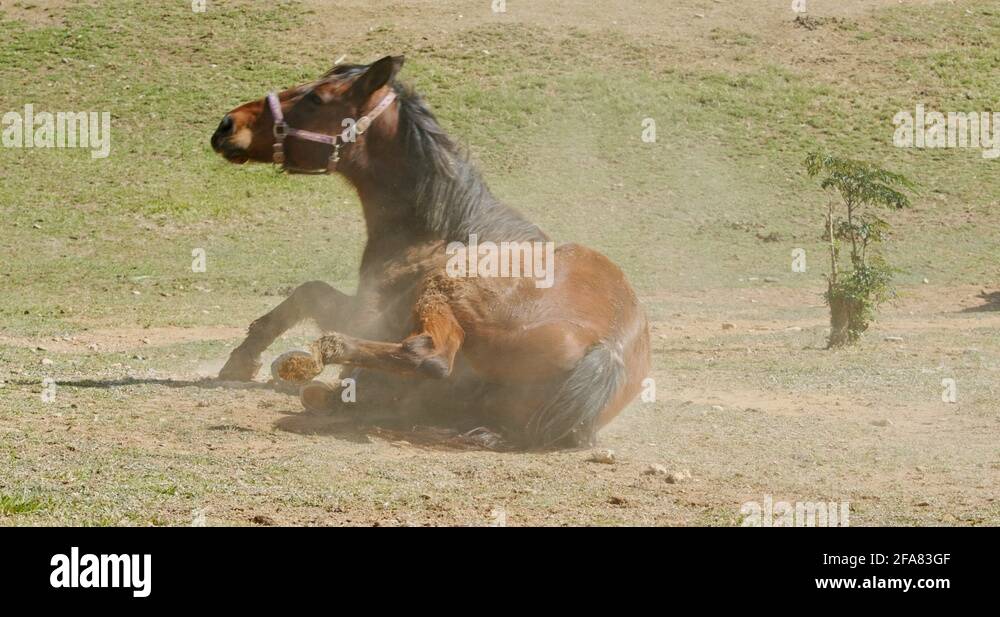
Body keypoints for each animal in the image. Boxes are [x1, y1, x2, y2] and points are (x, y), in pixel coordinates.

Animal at [209, 55, 650, 449]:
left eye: (316, 97)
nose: (228, 124)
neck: (445, 227)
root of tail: (606, 350)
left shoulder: (367, 315)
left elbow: (308, 292)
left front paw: (245, 360)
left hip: (443, 289)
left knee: (428, 356)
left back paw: (329, 356)